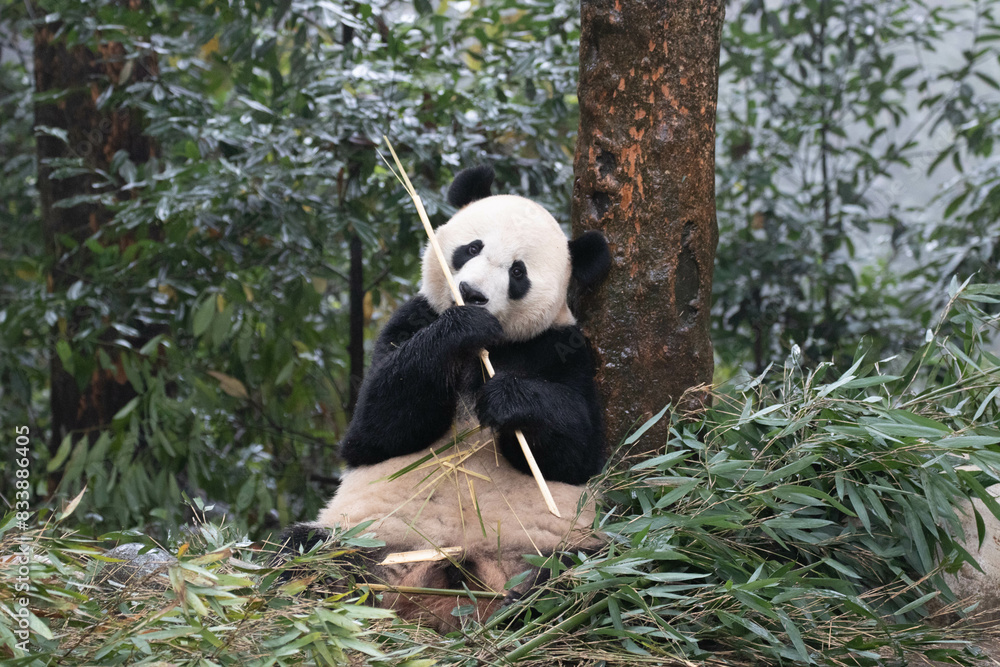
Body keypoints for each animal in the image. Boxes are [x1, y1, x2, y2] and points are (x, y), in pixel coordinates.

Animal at [280, 165, 611, 632]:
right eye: (472, 247)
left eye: (518, 272)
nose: (472, 293)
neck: (492, 345)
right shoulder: (413, 319)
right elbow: (372, 431)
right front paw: (461, 326)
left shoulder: (565, 348)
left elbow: (579, 453)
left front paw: (510, 399)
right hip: (374, 540)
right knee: (308, 554)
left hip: (552, 548)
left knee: (595, 573)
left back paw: (529, 606)